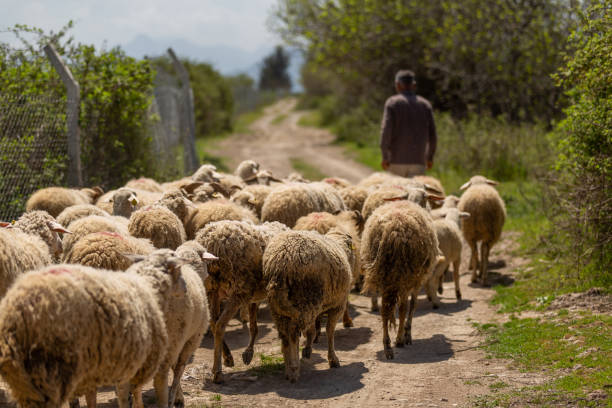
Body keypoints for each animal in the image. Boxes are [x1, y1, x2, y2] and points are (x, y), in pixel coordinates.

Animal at [0, 250, 188, 408]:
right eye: (178, 270)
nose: (186, 290)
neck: (148, 287)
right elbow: (127, 395)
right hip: (52, 370)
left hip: (25, 377)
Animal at [197, 220, 290, 382]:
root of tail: (213, 240)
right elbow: (254, 326)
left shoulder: (253, 296)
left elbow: (254, 326)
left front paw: (248, 353)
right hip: (238, 289)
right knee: (220, 325)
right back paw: (217, 371)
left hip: (212, 289)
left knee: (214, 323)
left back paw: (227, 357)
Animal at [264, 230, 354, 382]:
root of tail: (280, 262)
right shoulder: (338, 305)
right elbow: (330, 331)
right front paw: (333, 359)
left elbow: (311, 331)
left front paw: (308, 350)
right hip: (306, 299)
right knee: (293, 333)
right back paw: (294, 369)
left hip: (281, 307)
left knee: (284, 335)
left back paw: (288, 368)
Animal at [360, 199, 442, 358]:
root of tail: (393, 228)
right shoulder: (417, 280)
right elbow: (412, 305)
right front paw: (406, 334)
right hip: (403, 275)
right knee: (402, 307)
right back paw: (397, 341)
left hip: (383, 274)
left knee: (384, 310)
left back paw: (387, 345)